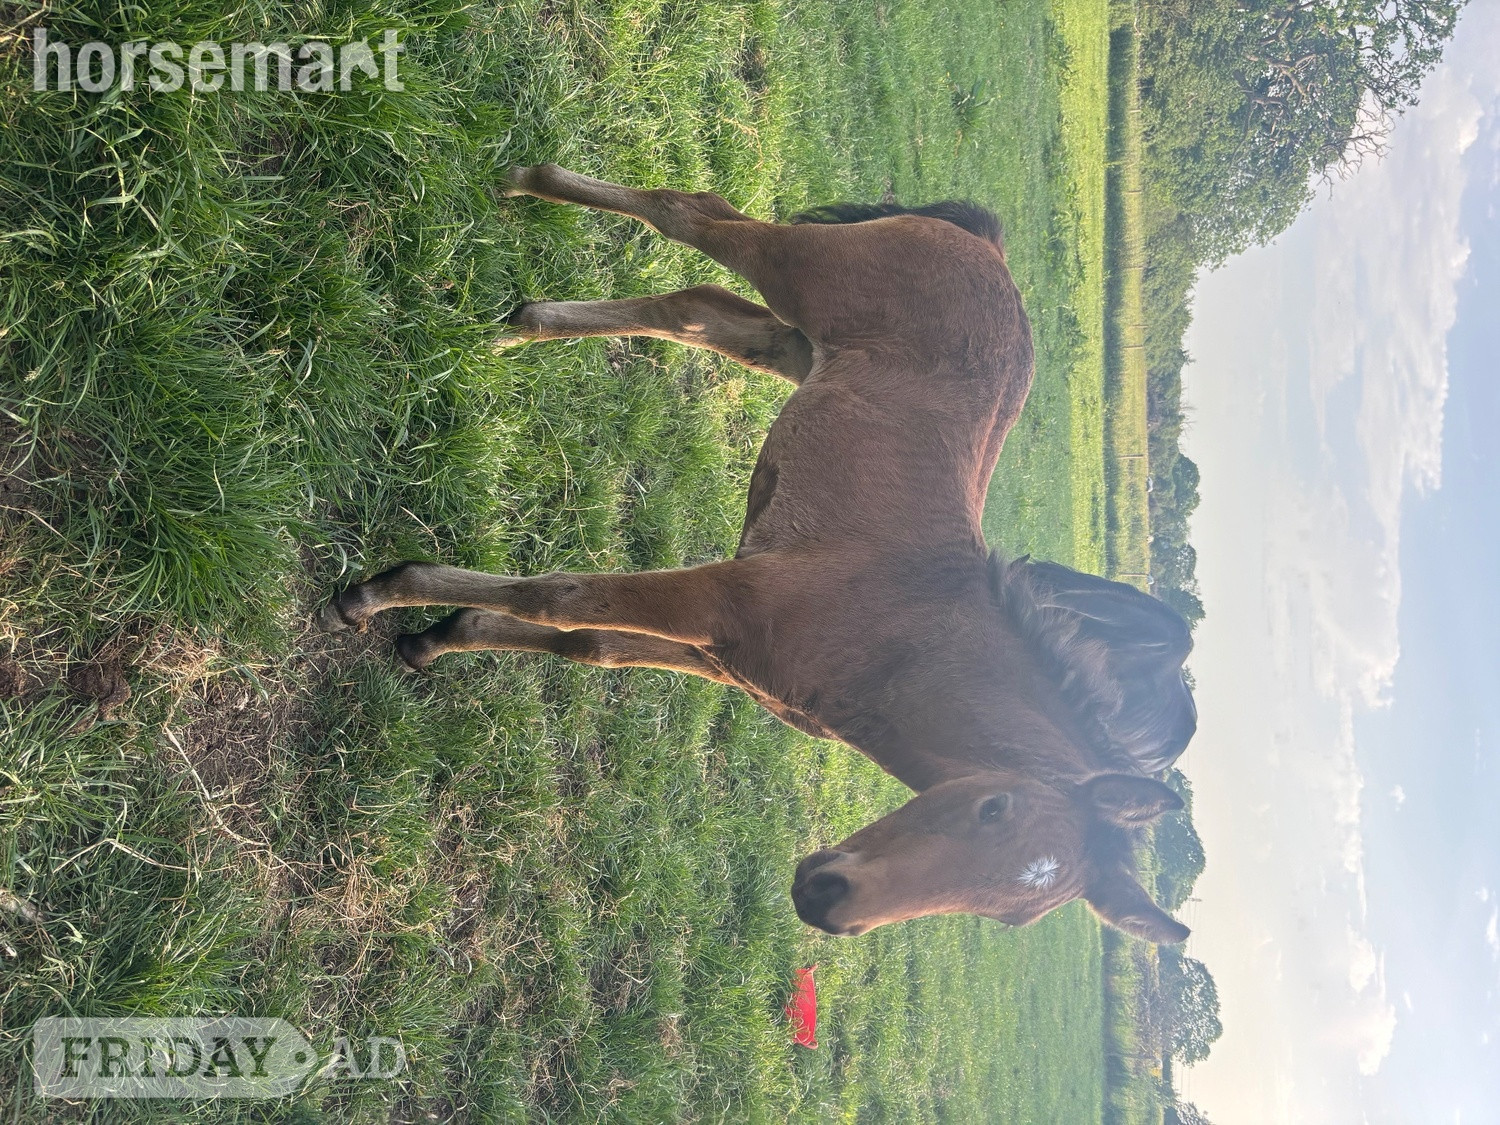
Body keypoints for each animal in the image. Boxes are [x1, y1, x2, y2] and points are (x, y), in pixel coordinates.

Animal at [318, 164, 1197, 943]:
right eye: (994, 807)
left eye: (1008, 915)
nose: (826, 900)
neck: (903, 641)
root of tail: (991, 249)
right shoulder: (727, 598)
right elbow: (560, 597)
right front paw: (379, 594)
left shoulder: (728, 654)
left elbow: (589, 643)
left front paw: (438, 636)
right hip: (801, 273)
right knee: (694, 215)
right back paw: (525, 187)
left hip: (796, 346)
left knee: (697, 310)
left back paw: (519, 324)